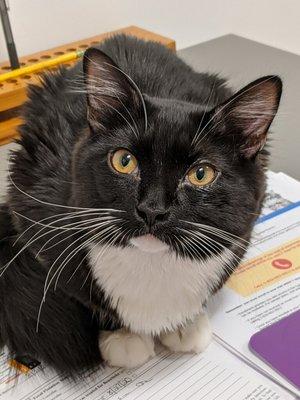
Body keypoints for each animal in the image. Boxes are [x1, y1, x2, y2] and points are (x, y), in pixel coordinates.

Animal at [0, 35, 282, 376]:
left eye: (201, 174)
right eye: (124, 161)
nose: (152, 209)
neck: (152, 263)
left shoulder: (242, 231)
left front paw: (185, 324)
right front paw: (123, 336)